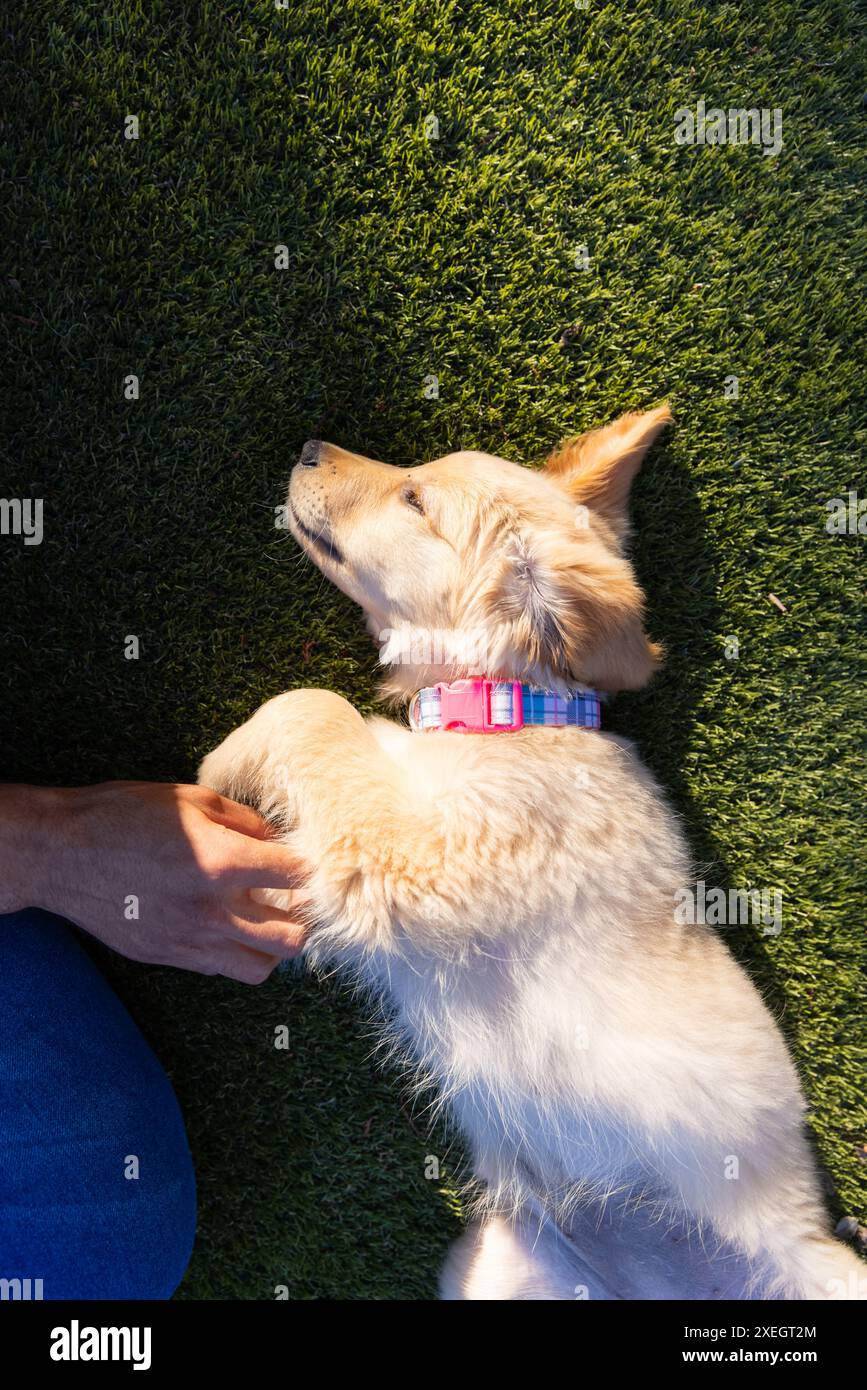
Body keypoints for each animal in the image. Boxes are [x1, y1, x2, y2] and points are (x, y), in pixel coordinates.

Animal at [200, 405, 861, 1295]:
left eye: (414, 500)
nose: (308, 447)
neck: (506, 711)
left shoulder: (422, 862)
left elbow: (311, 705)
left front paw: (213, 774)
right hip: (493, 1265)